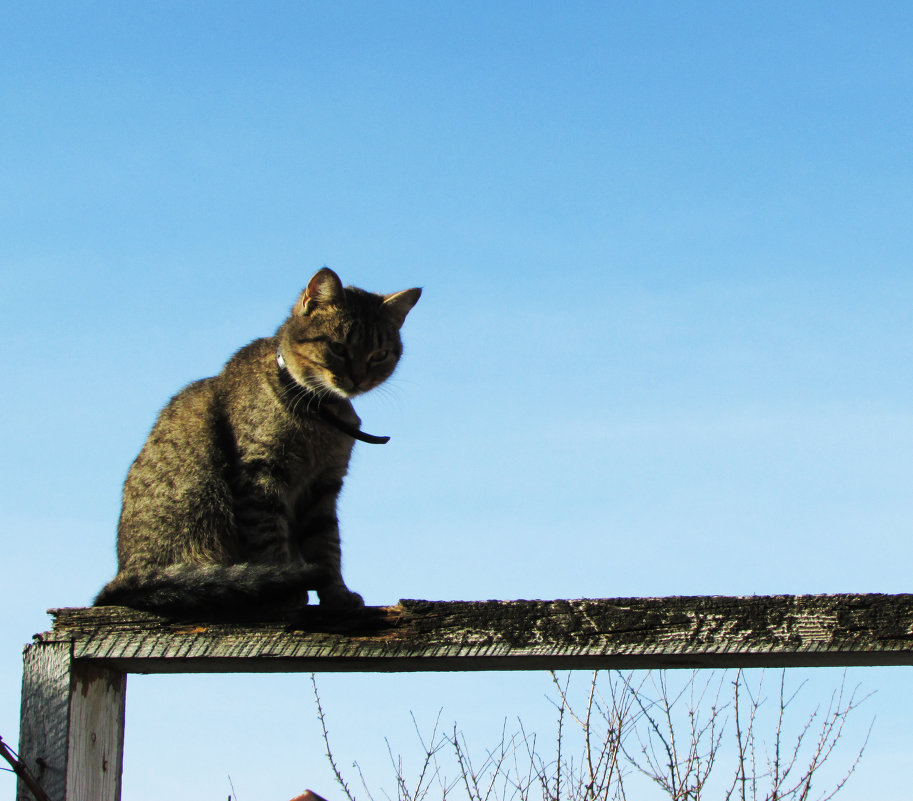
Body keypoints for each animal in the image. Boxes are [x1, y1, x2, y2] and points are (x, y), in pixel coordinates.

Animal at [92, 268, 420, 620]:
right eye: (338, 347)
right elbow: (269, 539)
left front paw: (337, 596)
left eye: (379, 355)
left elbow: (327, 546)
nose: (358, 379)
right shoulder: (260, 477)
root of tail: (122, 578)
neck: (320, 413)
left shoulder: (324, 487)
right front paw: (285, 590)